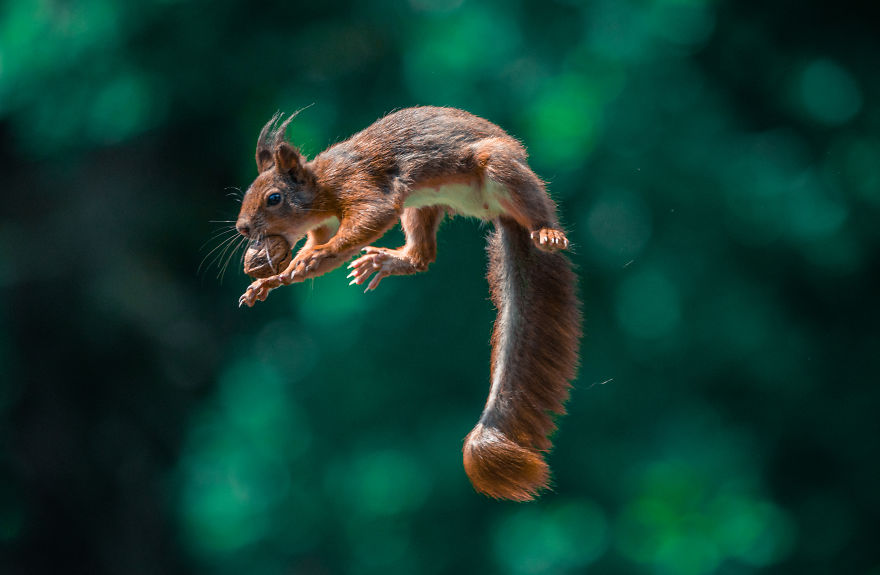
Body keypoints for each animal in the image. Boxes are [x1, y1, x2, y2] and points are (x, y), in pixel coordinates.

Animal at [235, 106, 584, 502]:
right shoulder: (323, 224)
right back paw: (390, 261)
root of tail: (500, 213)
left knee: (537, 207)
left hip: (500, 168)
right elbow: (317, 253)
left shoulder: (359, 185)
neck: (321, 184)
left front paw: (308, 259)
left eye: (274, 198)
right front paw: (270, 280)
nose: (243, 228)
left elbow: (364, 221)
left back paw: (547, 231)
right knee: (422, 257)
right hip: (422, 207)